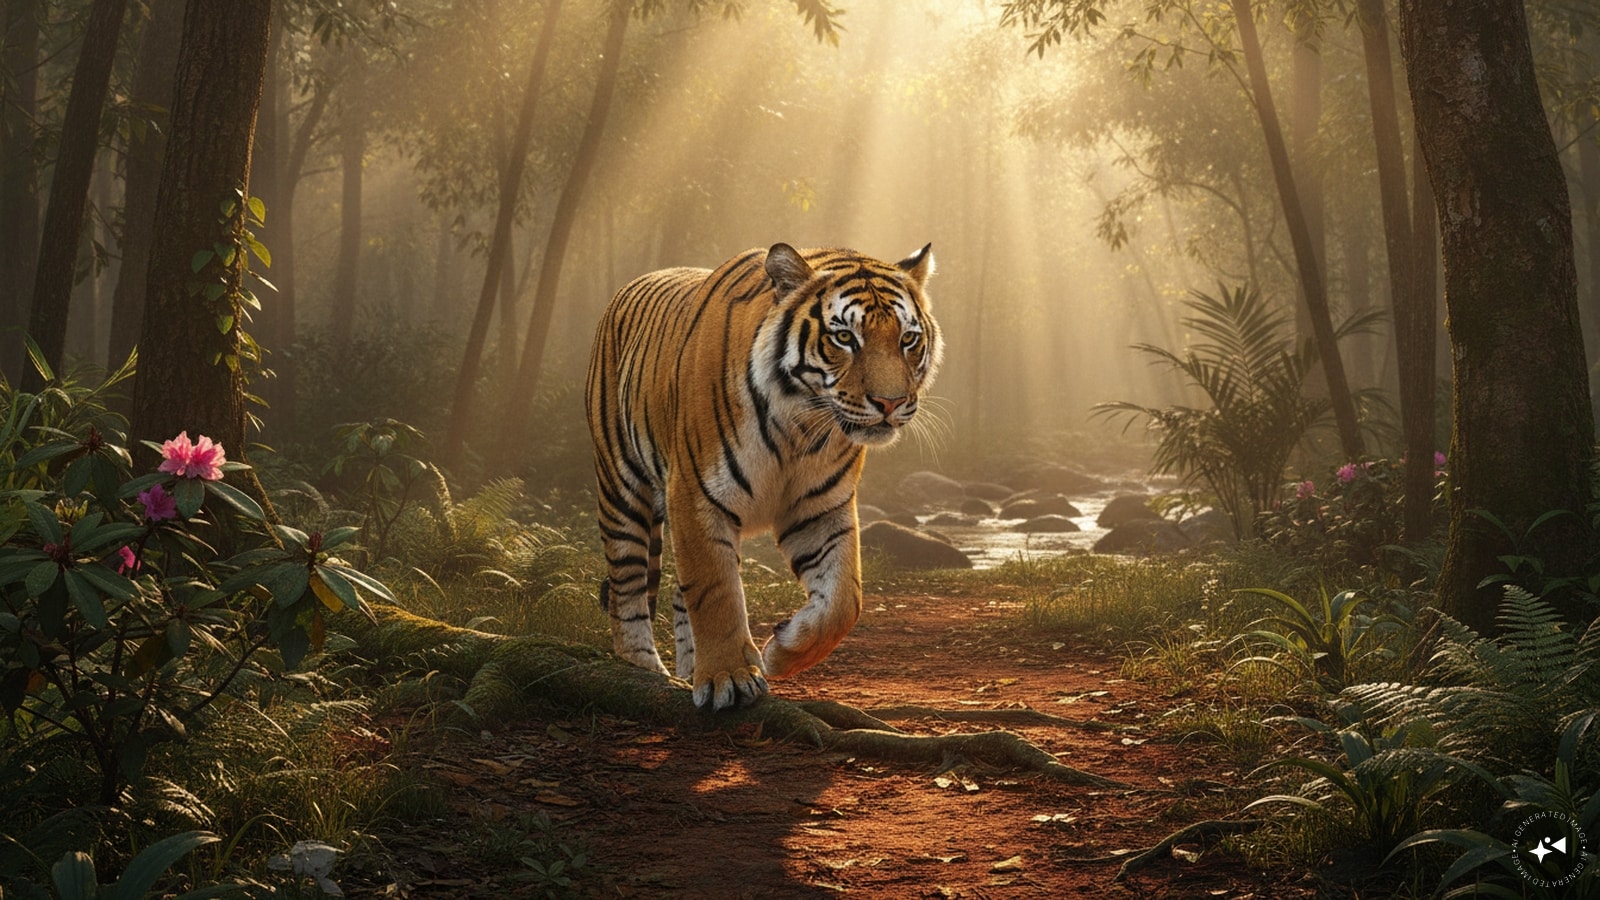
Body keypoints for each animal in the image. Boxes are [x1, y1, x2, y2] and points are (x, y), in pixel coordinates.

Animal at [584, 243, 941, 711]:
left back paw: (689, 671)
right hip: (622, 488)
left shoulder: (819, 508)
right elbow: (716, 592)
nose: (891, 402)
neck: (801, 425)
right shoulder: (695, 496)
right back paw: (642, 670)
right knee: (628, 587)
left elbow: (844, 601)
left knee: (678, 592)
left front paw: (781, 652)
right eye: (844, 337)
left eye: (908, 339)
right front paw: (730, 678)